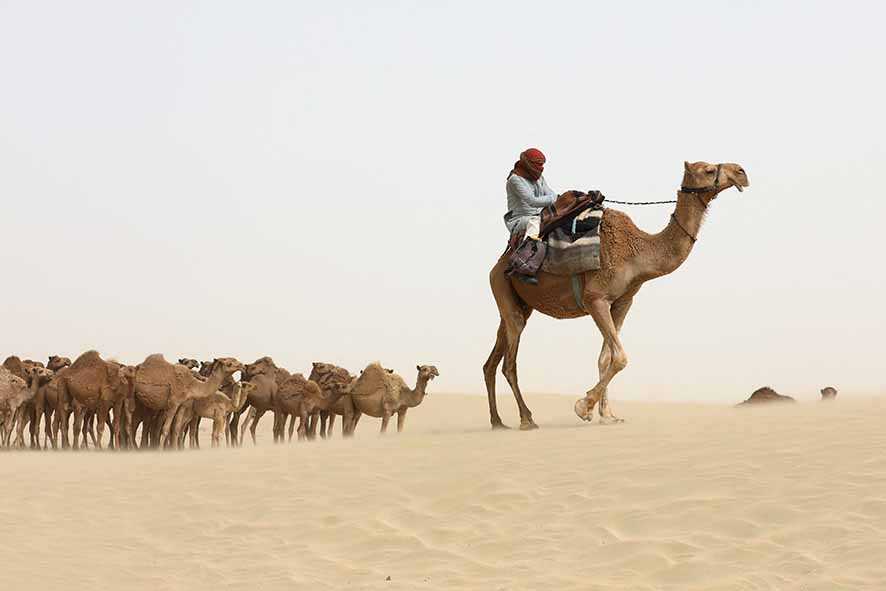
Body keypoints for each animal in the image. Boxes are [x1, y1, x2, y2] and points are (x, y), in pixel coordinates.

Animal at [486, 162, 748, 430]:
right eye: (708, 170)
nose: (741, 172)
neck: (639, 252)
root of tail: (498, 265)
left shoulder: (623, 301)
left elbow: (605, 358)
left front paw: (608, 415)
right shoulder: (595, 299)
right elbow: (620, 358)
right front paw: (584, 407)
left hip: (516, 304)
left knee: (492, 361)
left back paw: (498, 421)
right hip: (504, 289)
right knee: (509, 363)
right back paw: (526, 419)